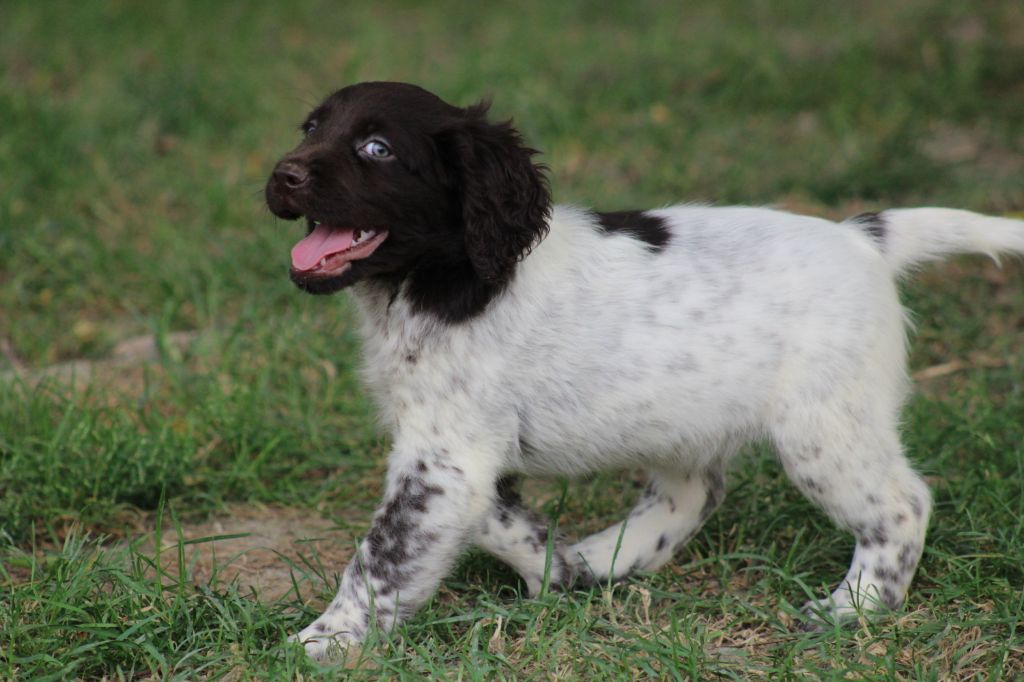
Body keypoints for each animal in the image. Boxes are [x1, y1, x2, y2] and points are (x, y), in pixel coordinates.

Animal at [266, 80, 1024, 659]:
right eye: (311, 127)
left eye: (377, 149)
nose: (282, 174)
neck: (443, 282)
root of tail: (860, 237)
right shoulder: (451, 454)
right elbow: (490, 515)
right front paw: (554, 564)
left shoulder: (443, 458)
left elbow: (380, 558)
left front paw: (321, 641)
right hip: (692, 414)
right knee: (693, 493)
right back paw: (606, 558)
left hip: (824, 426)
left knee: (902, 502)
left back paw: (857, 606)